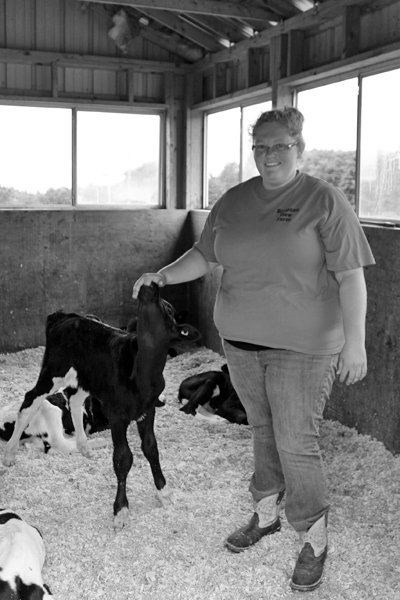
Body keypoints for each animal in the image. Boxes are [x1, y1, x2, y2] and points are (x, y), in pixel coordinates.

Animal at [2, 284, 176, 528]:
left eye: (168, 309)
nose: (151, 285)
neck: (143, 371)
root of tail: (64, 315)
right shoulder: (117, 414)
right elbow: (123, 458)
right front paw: (121, 510)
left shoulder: (147, 409)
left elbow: (151, 448)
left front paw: (163, 491)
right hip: (54, 370)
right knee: (30, 400)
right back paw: (9, 454)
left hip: (86, 378)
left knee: (74, 401)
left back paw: (84, 446)